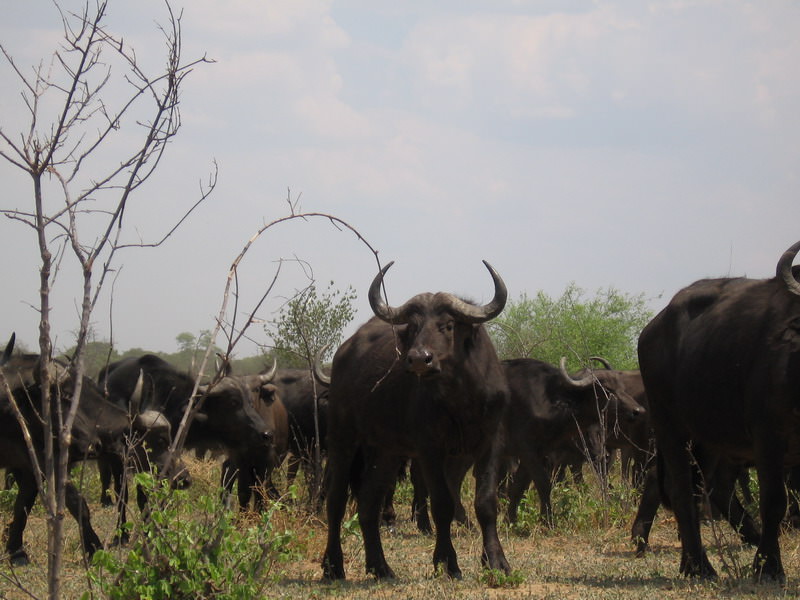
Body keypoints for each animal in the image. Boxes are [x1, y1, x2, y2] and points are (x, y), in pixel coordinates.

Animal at [318, 260, 506, 580]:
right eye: (415, 327)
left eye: (448, 324)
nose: (419, 359)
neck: (460, 399)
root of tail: (343, 354)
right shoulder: (429, 449)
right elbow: (441, 503)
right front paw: (447, 562)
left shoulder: (489, 443)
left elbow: (486, 502)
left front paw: (495, 560)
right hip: (343, 439)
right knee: (336, 501)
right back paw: (333, 566)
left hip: (386, 451)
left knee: (369, 502)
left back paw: (380, 566)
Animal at [636, 239, 800, 580]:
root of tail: (652, 330)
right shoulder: (768, 436)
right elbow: (774, 501)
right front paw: (768, 567)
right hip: (671, 427)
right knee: (682, 491)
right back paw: (698, 566)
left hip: (709, 441)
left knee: (705, 490)